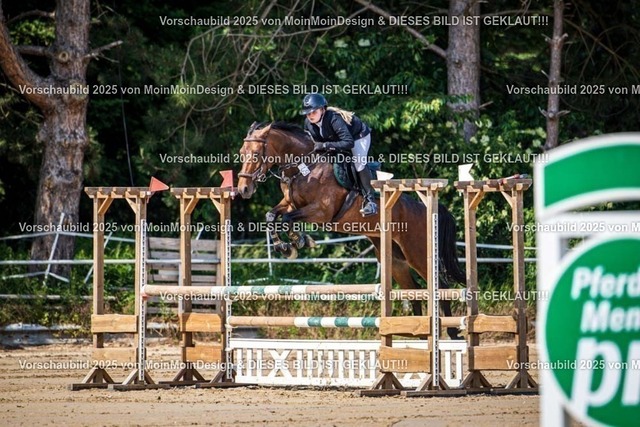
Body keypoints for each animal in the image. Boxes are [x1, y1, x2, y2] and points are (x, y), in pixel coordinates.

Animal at [236, 122, 466, 339]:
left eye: (255, 154)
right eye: (241, 152)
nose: (243, 189)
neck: (305, 167)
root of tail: (423, 208)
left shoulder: (321, 212)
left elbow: (285, 219)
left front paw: (298, 241)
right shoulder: (290, 204)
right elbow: (271, 216)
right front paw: (285, 247)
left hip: (417, 253)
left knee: (441, 286)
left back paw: (452, 332)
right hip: (394, 258)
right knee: (413, 290)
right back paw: (416, 331)